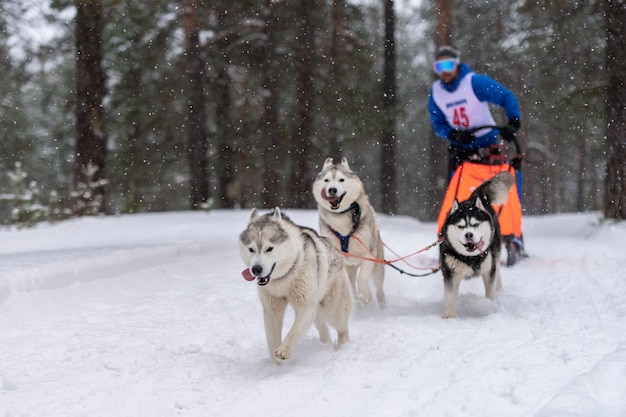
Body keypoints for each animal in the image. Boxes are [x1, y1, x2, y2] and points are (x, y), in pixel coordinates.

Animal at [236, 206, 352, 362]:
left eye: (269, 248)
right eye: (251, 249)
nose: (256, 269)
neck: (284, 278)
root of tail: (334, 249)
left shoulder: (305, 307)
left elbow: (294, 331)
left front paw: (284, 350)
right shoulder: (272, 311)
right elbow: (272, 341)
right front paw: (275, 365)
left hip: (332, 309)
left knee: (342, 328)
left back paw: (342, 348)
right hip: (316, 310)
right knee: (323, 326)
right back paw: (325, 344)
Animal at [312, 158, 386, 308]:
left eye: (341, 179)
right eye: (326, 180)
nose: (332, 190)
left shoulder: (368, 254)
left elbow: (362, 279)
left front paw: (366, 296)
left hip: (377, 269)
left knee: (379, 291)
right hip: (350, 267)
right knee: (351, 283)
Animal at [438, 171, 512, 316]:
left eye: (476, 224)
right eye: (460, 226)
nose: (469, 234)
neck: (470, 258)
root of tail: (473, 198)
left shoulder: (489, 271)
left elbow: (490, 292)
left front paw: (490, 308)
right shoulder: (449, 273)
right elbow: (450, 296)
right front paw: (449, 316)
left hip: (495, 254)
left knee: (498, 271)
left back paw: (499, 290)